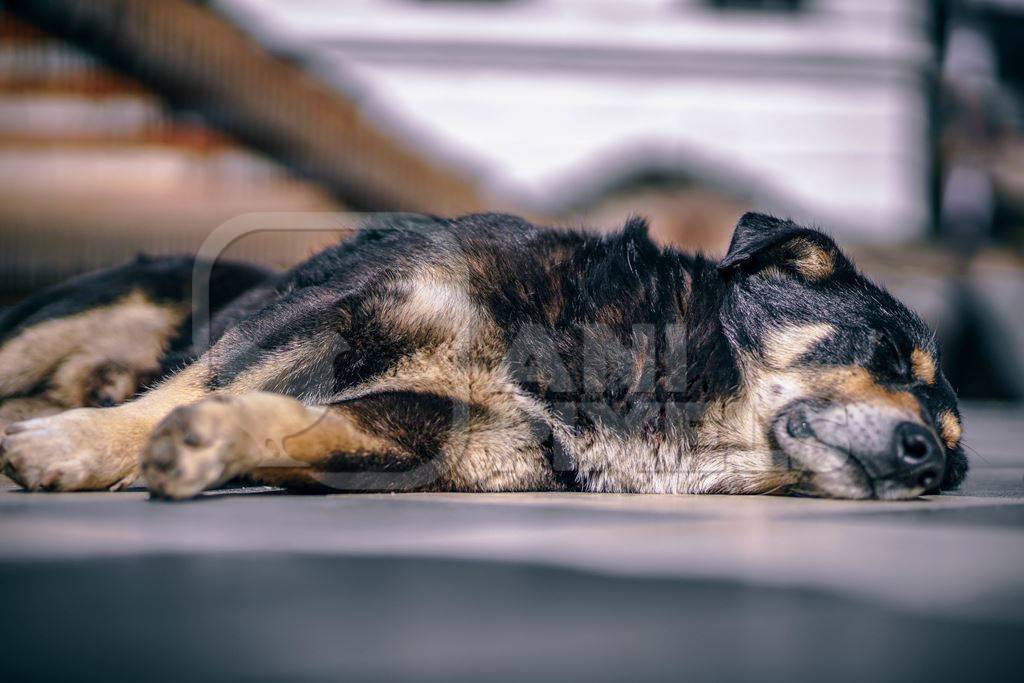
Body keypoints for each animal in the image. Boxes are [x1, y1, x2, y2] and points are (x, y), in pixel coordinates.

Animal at [0, 210, 962, 499]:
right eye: (886, 353)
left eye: (956, 461)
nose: (927, 461)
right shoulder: (333, 312)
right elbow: (172, 396)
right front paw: (80, 445)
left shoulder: (435, 438)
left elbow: (285, 421)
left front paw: (211, 442)